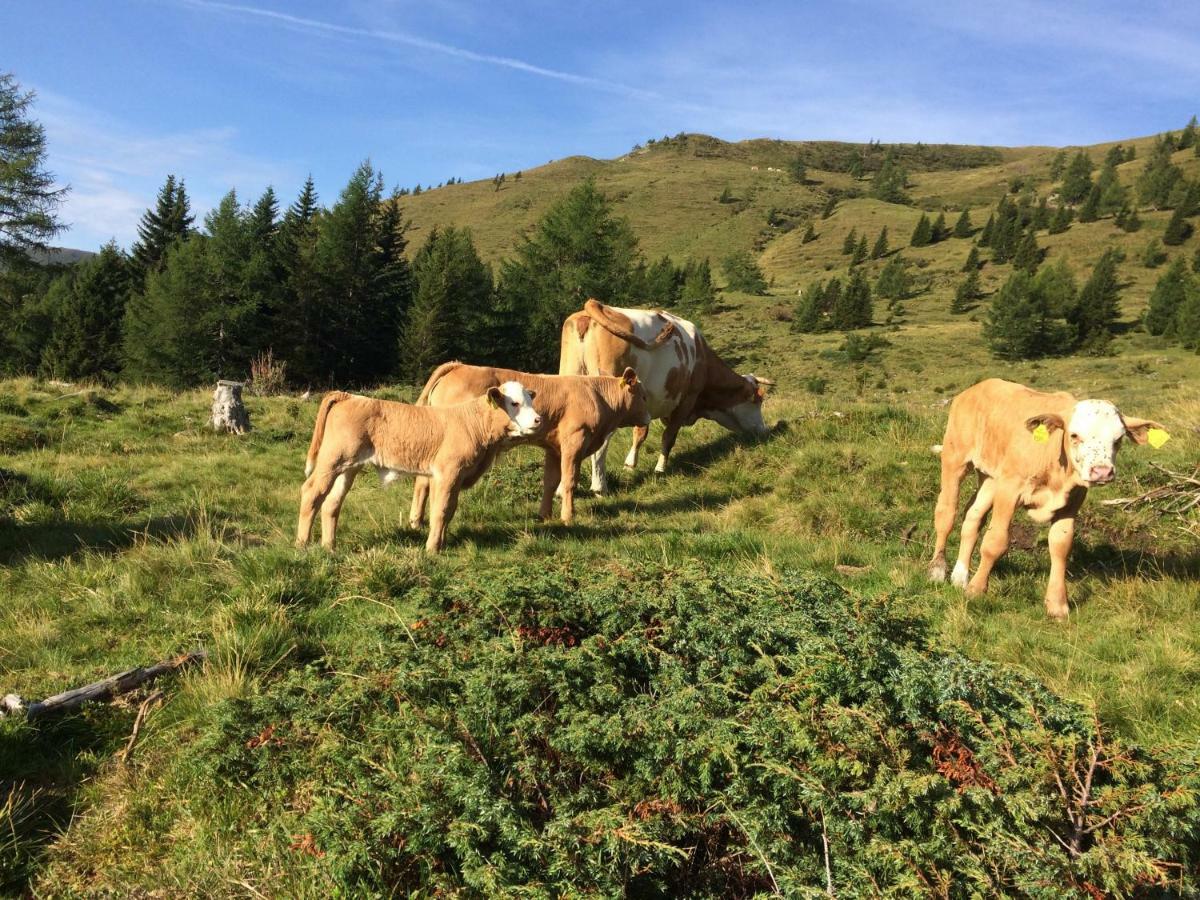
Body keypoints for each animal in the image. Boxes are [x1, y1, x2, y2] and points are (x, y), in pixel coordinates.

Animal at [297, 381, 542, 554]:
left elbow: (447, 510)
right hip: (331, 461)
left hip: (348, 467)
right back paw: (302, 544)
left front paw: (441, 544)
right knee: (312, 493)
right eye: (514, 403)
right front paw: (432, 549)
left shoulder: (453, 477)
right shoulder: (448, 472)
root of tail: (349, 396)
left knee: (331, 502)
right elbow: (441, 510)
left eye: (530, 401)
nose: (538, 420)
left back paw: (329, 546)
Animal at [415, 362, 657, 525]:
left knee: (422, 481)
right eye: (644, 396)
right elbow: (569, 481)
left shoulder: (554, 448)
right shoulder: (574, 441)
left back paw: (416, 521)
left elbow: (550, 482)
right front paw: (568, 517)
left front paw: (545, 515)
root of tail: (459, 365)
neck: (596, 395)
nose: (648, 419)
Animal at [559, 300, 772, 494]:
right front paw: (660, 468)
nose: (764, 430)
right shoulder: (686, 401)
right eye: (758, 400)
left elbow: (640, 434)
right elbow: (668, 437)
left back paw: (563, 488)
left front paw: (629, 464)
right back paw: (599, 487)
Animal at [926, 379, 1171, 619]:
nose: (1101, 471)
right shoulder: (1009, 489)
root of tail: (975, 388)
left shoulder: (1071, 503)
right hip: (955, 458)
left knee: (973, 515)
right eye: (1074, 435)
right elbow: (995, 542)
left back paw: (960, 576)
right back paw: (937, 569)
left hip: (989, 477)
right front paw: (976, 590)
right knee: (947, 512)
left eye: (1118, 439)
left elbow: (1061, 547)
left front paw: (1057, 605)